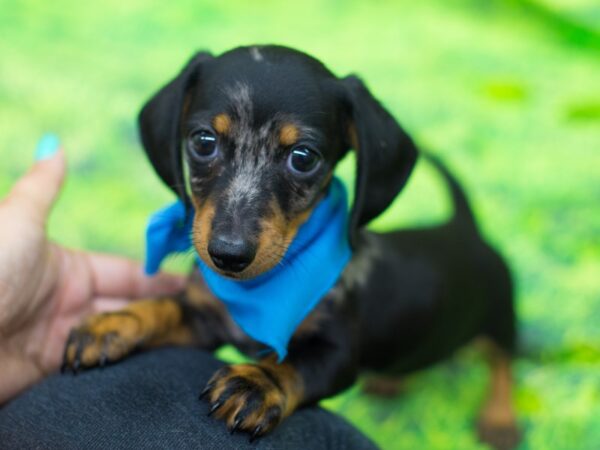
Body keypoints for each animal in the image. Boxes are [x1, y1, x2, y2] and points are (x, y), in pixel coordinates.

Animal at [62, 44, 520, 446]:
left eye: (303, 157)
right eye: (204, 141)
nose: (227, 255)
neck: (259, 291)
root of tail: (465, 229)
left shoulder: (337, 352)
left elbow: (294, 364)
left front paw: (256, 381)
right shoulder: (205, 319)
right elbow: (166, 307)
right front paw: (114, 322)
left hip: (501, 316)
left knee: (504, 360)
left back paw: (500, 419)